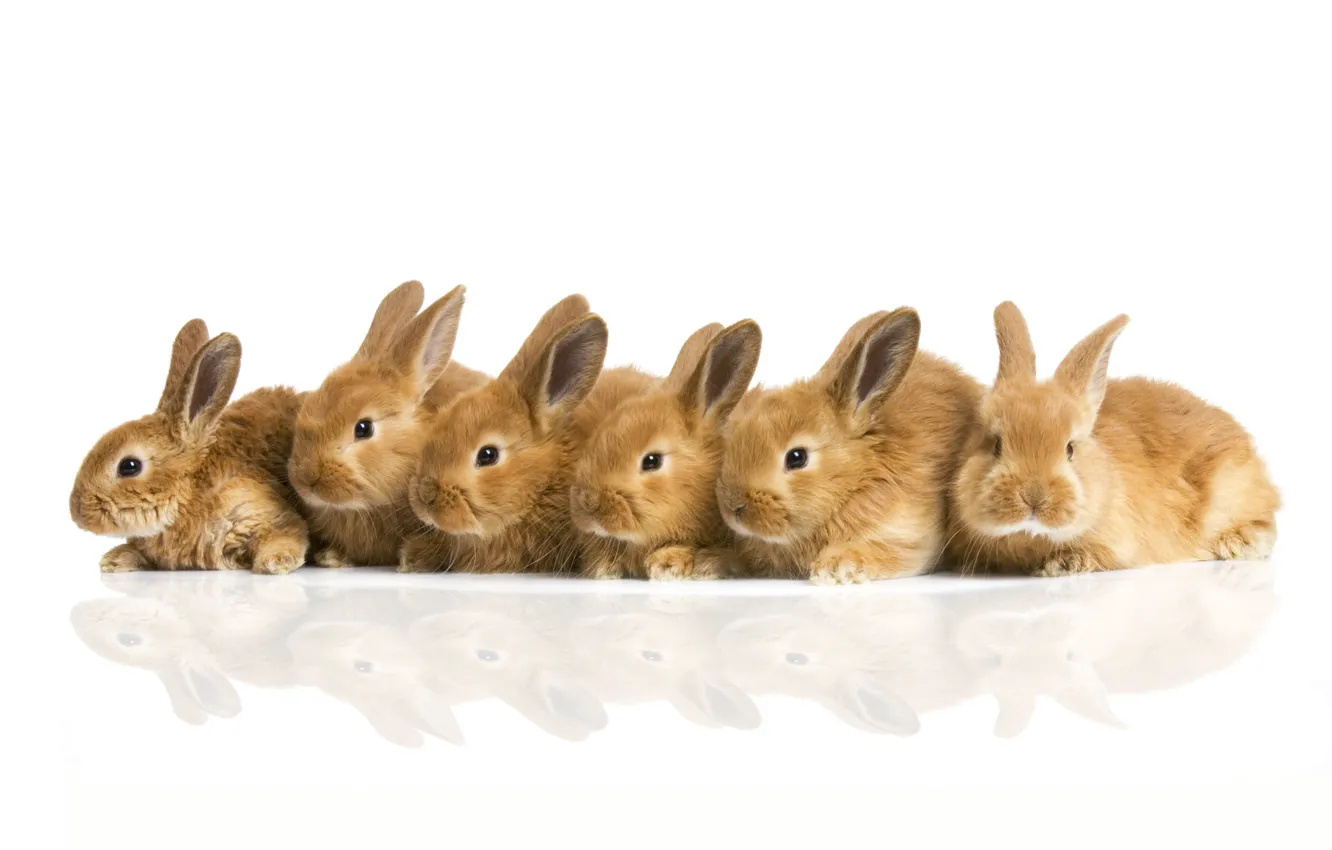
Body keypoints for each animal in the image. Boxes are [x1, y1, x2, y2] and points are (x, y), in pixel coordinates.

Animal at [69, 319, 311, 574]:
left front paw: (276, 562)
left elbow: (287, 533)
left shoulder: (261, 511)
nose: (77, 512)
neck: (190, 493)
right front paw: (114, 559)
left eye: (129, 466)